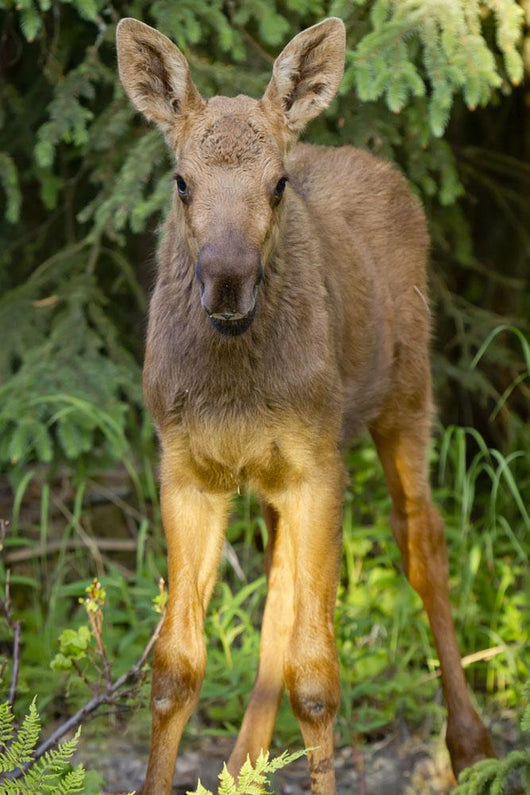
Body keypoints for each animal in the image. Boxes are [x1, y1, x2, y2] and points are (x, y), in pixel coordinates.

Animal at [116, 16, 495, 794]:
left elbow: (318, 679)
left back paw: (471, 744)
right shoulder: (188, 467)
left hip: (406, 398)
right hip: (279, 474)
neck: (234, 384)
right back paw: (242, 763)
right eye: (181, 182)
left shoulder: (320, 464)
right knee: (281, 588)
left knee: (423, 540)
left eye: (278, 183)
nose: (228, 282)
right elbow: (174, 669)